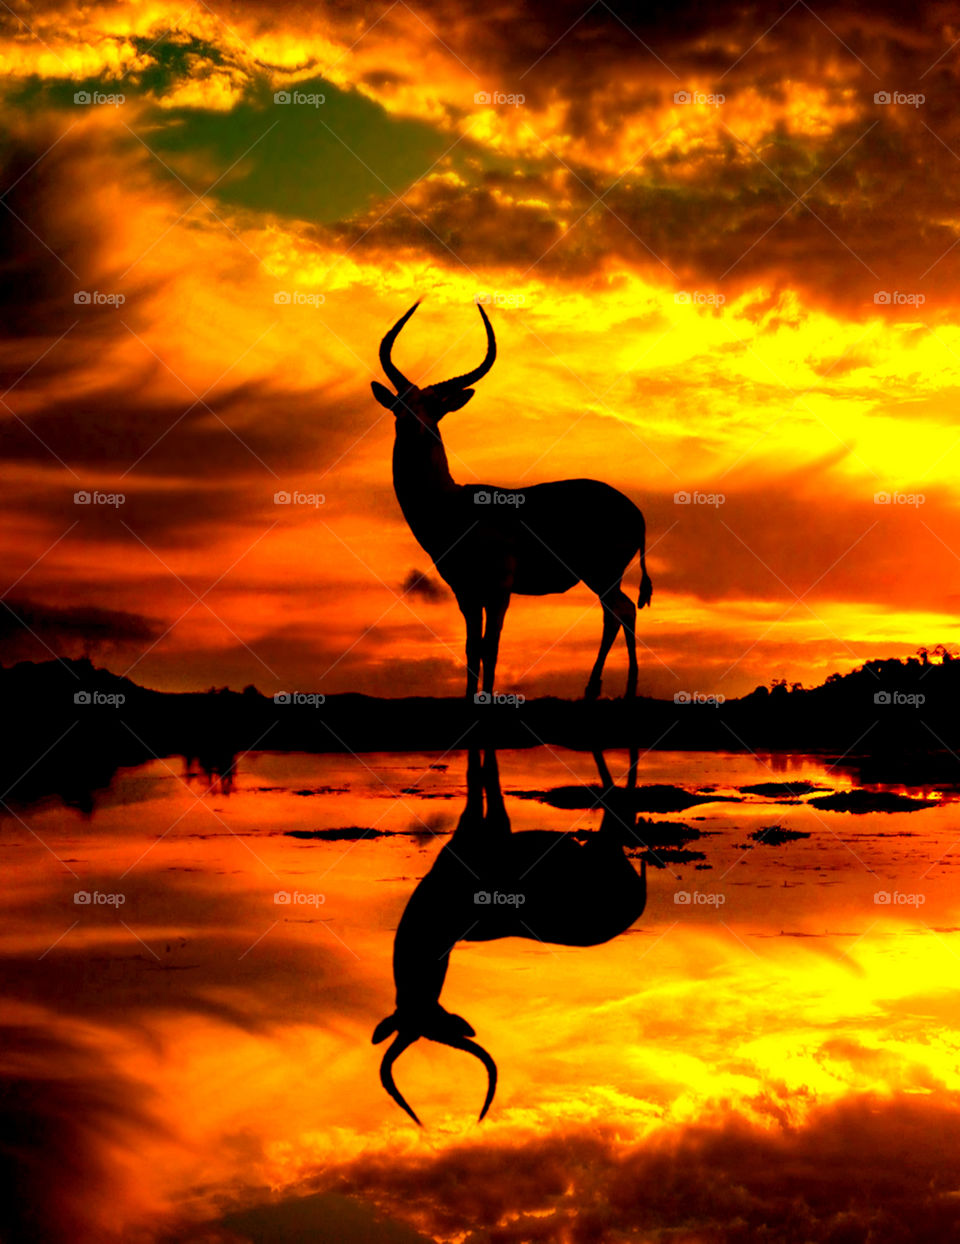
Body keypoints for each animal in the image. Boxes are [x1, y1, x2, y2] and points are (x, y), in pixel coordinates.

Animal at [371, 301, 653, 701]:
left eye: (435, 408)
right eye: (400, 406)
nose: (414, 427)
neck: (454, 507)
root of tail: (636, 512)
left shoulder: (499, 588)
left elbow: (491, 646)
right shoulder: (465, 590)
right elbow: (472, 647)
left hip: (602, 574)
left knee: (622, 611)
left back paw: (612, 689)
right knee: (619, 611)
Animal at [372, 747, 647, 1125]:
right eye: (438, 1026)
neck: (440, 913)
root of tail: (636, 902)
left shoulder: (484, 824)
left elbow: (482, 775)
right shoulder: (488, 825)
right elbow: (485, 778)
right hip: (602, 848)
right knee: (616, 809)